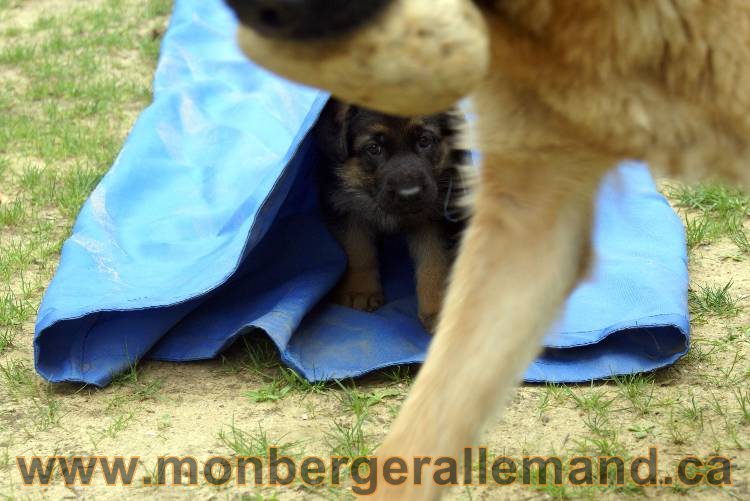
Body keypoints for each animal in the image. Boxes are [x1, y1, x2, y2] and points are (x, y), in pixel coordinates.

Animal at [316, 99, 470, 330]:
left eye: (425, 140)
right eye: (374, 148)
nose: (410, 194)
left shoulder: (433, 215)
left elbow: (434, 261)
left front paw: (436, 308)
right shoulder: (345, 206)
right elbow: (358, 250)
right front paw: (359, 290)